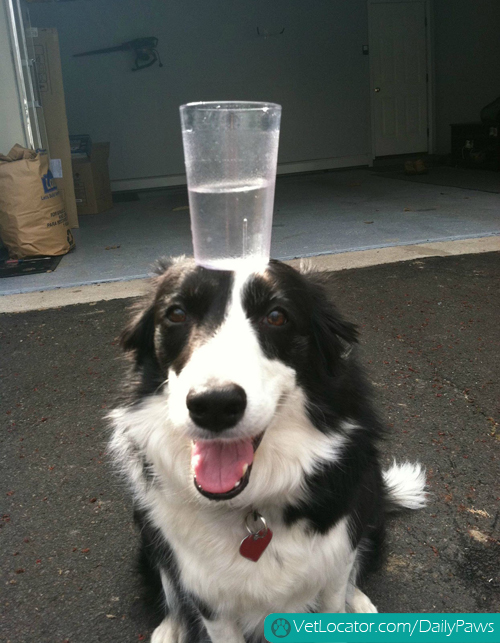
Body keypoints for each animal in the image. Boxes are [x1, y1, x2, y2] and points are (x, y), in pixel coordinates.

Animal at [110, 258, 426, 643]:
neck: (252, 508)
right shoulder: (209, 598)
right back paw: (170, 628)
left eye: (276, 316)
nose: (214, 405)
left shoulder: (336, 556)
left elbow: (339, 588)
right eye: (177, 313)